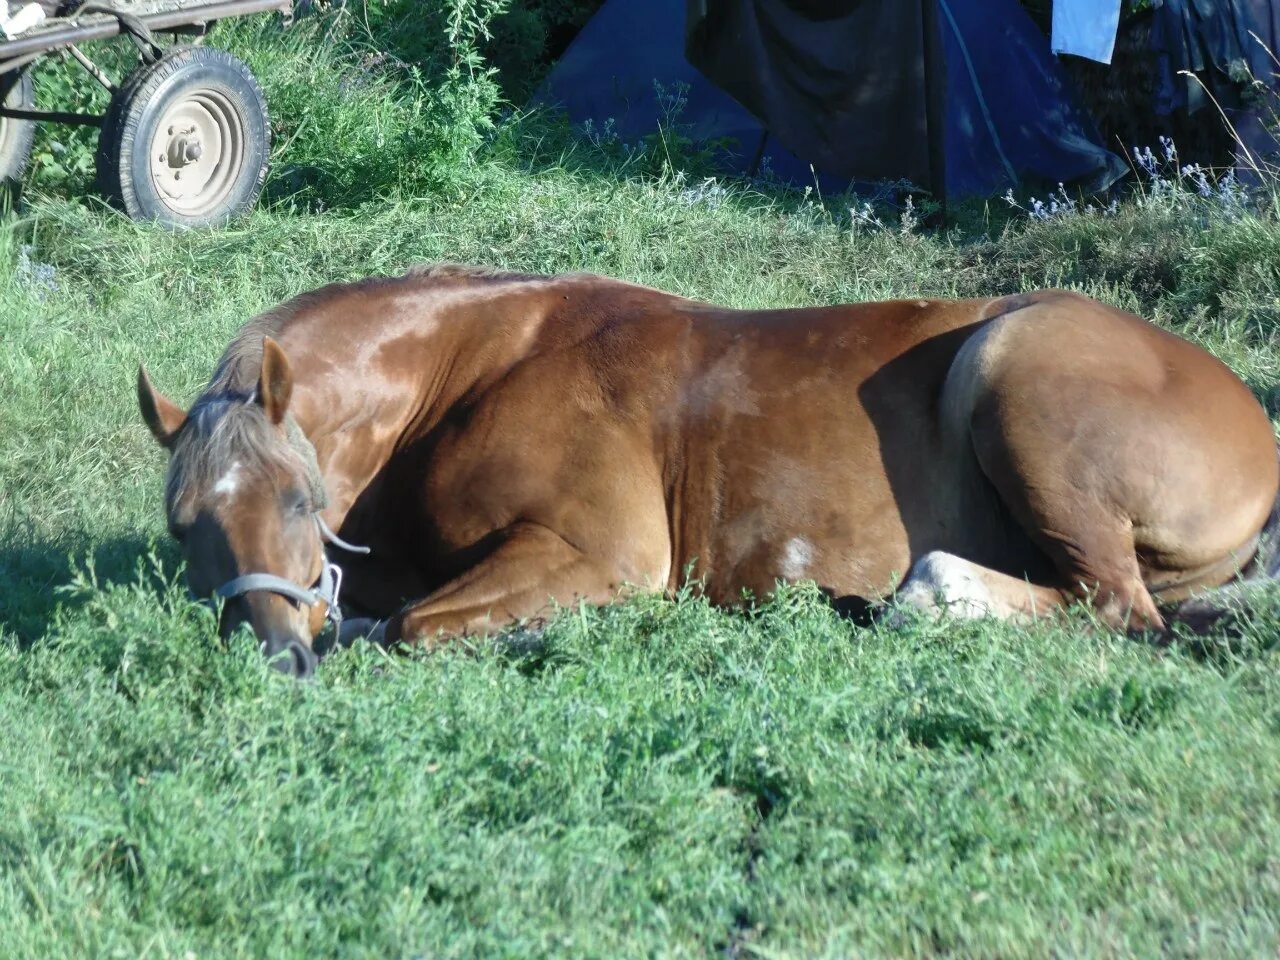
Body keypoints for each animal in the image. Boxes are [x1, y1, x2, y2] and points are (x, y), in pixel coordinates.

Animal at [137, 263, 1280, 675]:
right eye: (184, 526)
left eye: (299, 498)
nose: (274, 657)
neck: (473, 370)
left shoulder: (602, 551)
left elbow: (414, 625)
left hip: (1010, 373)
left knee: (1116, 609)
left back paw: (923, 596)